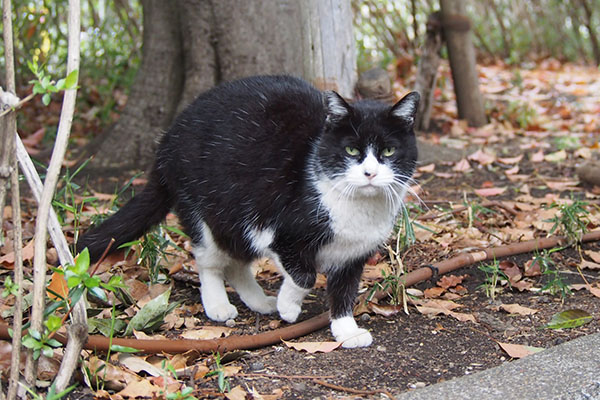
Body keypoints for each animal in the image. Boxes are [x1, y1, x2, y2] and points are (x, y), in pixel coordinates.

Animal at [78, 75, 418, 346]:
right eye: (351, 150)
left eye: (389, 151)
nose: (370, 173)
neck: (357, 209)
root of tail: (166, 142)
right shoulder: (282, 233)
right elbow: (304, 276)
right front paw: (289, 308)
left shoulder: (353, 254)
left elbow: (345, 292)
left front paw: (346, 330)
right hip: (206, 207)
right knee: (210, 260)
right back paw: (218, 304)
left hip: (237, 218)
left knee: (237, 263)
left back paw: (259, 302)